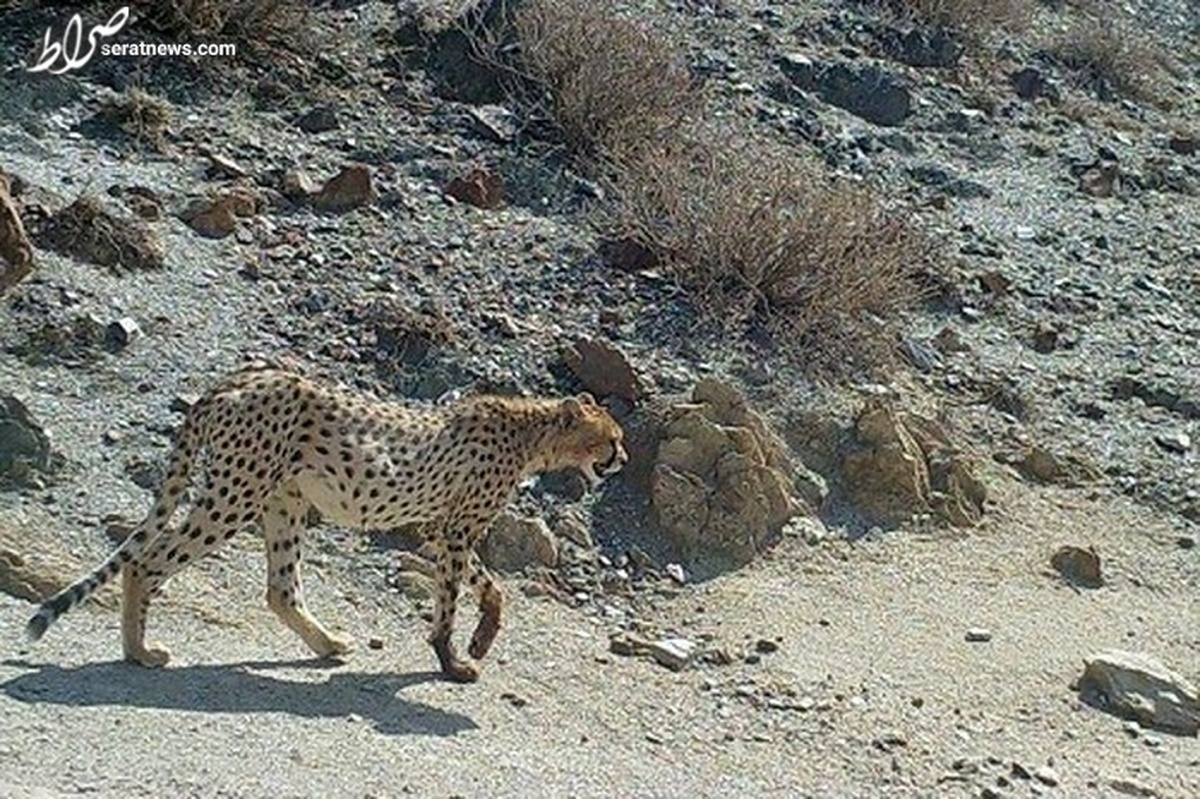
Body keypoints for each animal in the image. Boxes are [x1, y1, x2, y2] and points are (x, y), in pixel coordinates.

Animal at [25, 364, 628, 681]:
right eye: (613, 436)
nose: (622, 458)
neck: (532, 434)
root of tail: (231, 380)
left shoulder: (441, 527)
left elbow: (489, 586)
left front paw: (481, 639)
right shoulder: (455, 529)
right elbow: (449, 600)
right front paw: (451, 659)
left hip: (282, 503)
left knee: (280, 590)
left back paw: (327, 642)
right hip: (235, 495)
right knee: (147, 562)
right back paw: (139, 652)